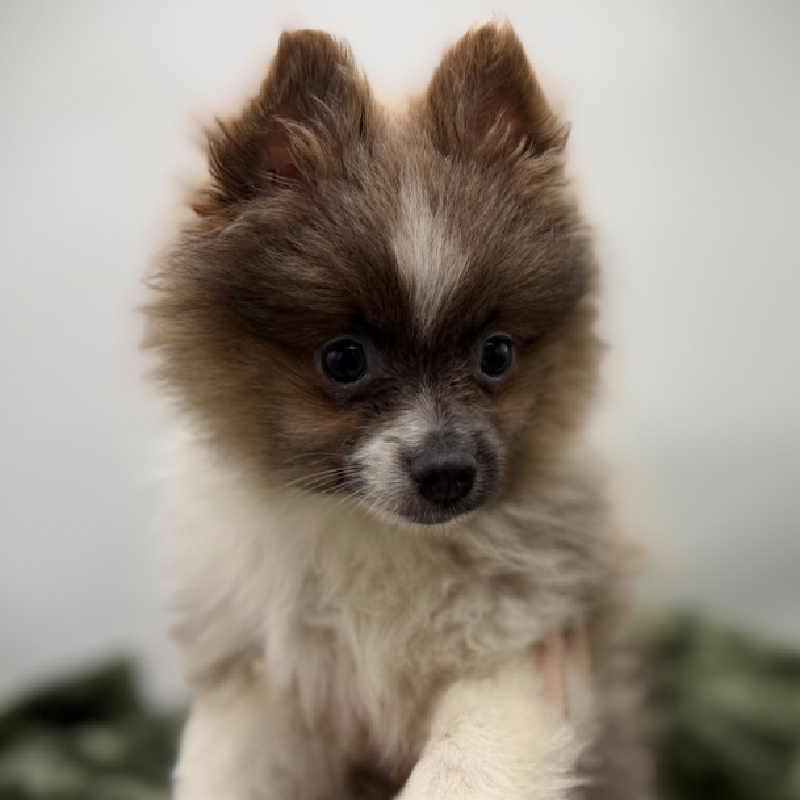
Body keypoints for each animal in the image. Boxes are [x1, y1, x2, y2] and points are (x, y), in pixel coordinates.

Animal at [144, 20, 653, 800]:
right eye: (344, 359)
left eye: (497, 354)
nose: (447, 472)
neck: (377, 537)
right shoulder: (263, 687)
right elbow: (229, 774)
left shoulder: (515, 650)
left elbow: (463, 766)